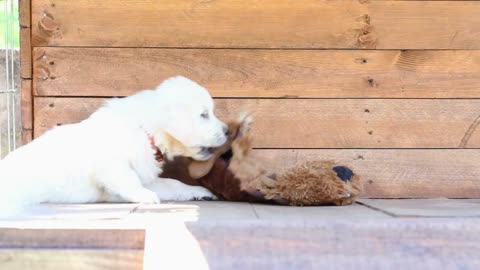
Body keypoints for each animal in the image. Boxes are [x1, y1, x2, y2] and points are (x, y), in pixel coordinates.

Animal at [0, 76, 228, 217]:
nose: (227, 130)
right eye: (204, 115)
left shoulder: (146, 173)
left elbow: (172, 184)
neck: (146, 130)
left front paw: (199, 191)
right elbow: (127, 178)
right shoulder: (108, 163)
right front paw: (144, 195)